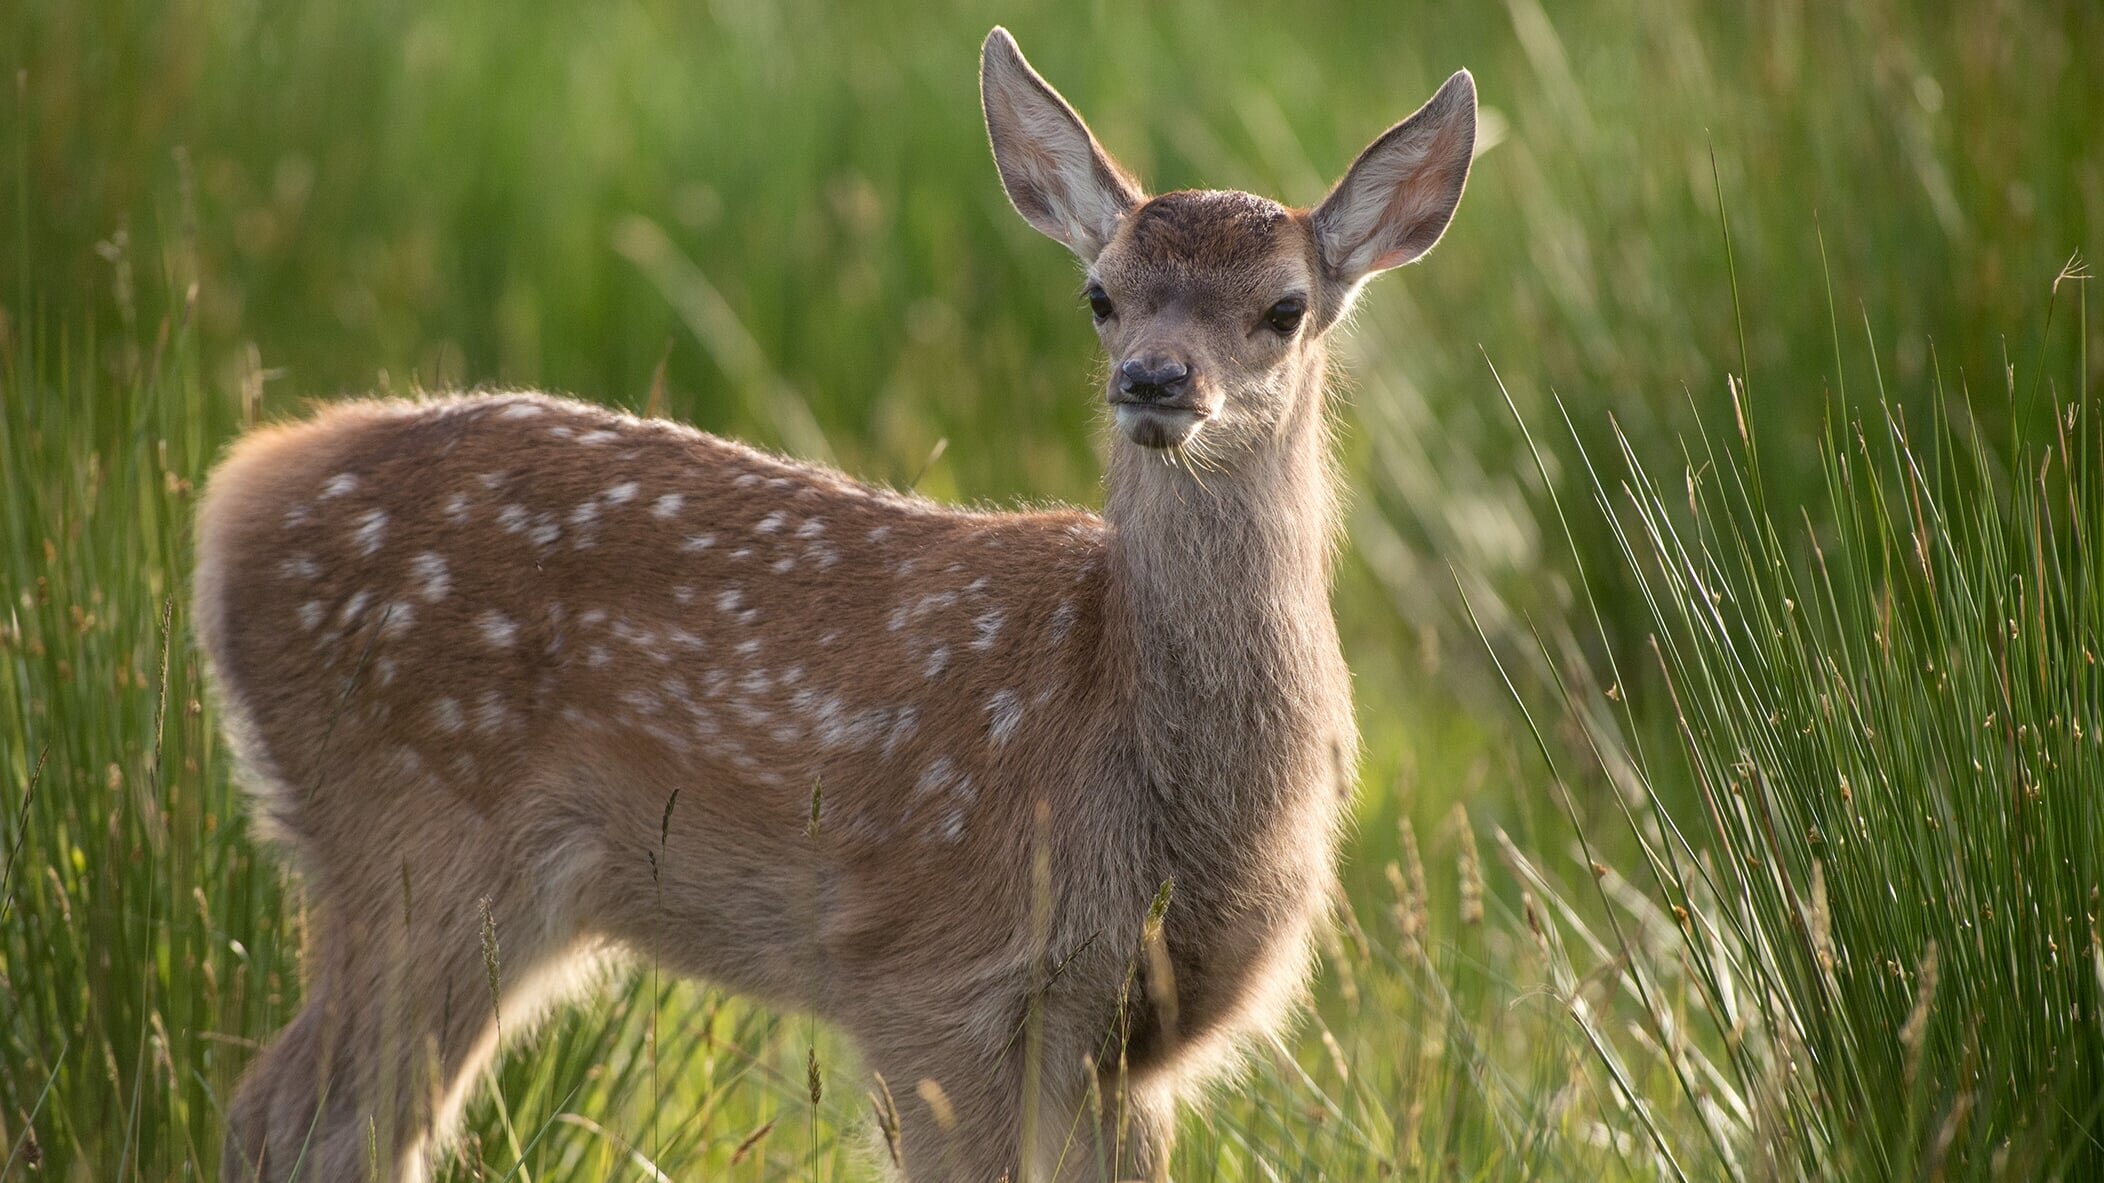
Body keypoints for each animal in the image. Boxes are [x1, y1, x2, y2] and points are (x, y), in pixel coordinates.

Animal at [200, 29, 1481, 1178]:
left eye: (1283, 307)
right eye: (1099, 296)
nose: (1155, 380)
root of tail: (234, 500)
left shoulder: (1133, 1040)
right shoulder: (930, 977)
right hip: (411, 839)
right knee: (289, 1117)